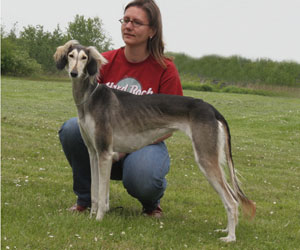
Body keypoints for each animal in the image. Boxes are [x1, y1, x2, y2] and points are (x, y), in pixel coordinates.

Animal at [54, 40, 255, 242]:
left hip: (205, 157)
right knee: (232, 196)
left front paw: (99, 219)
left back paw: (230, 237)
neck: (90, 97)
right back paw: (226, 230)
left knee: (232, 200)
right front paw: (91, 216)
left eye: (84, 58)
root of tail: (211, 109)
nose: (74, 73)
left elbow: (102, 193)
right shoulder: (93, 153)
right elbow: (95, 191)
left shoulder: (104, 153)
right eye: (71, 56)